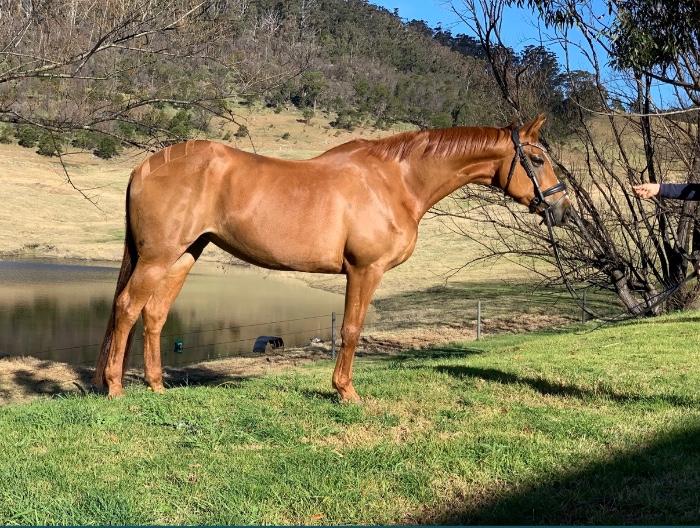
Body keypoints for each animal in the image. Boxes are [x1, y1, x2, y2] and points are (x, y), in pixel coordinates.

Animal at [93, 113, 571, 401]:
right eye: (536, 158)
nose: (562, 210)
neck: (395, 181)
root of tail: (144, 166)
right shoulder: (364, 270)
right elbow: (352, 330)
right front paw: (346, 392)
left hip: (184, 255)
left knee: (154, 314)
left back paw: (157, 387)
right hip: (158, 258)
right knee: (127, 308)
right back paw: (115, 389)